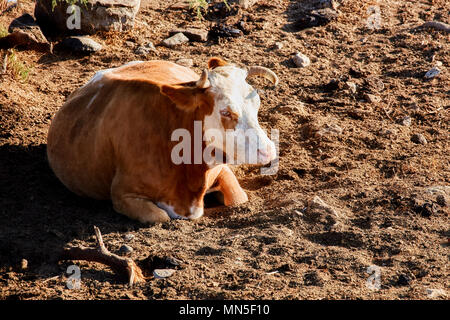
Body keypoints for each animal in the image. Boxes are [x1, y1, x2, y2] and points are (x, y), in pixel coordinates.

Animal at [45, 57, 278, 222]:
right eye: (226, 112)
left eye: (257, 103)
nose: (267, 151)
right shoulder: (122, 193)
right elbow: (159, 217)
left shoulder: (222, 170)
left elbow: (238, 199)